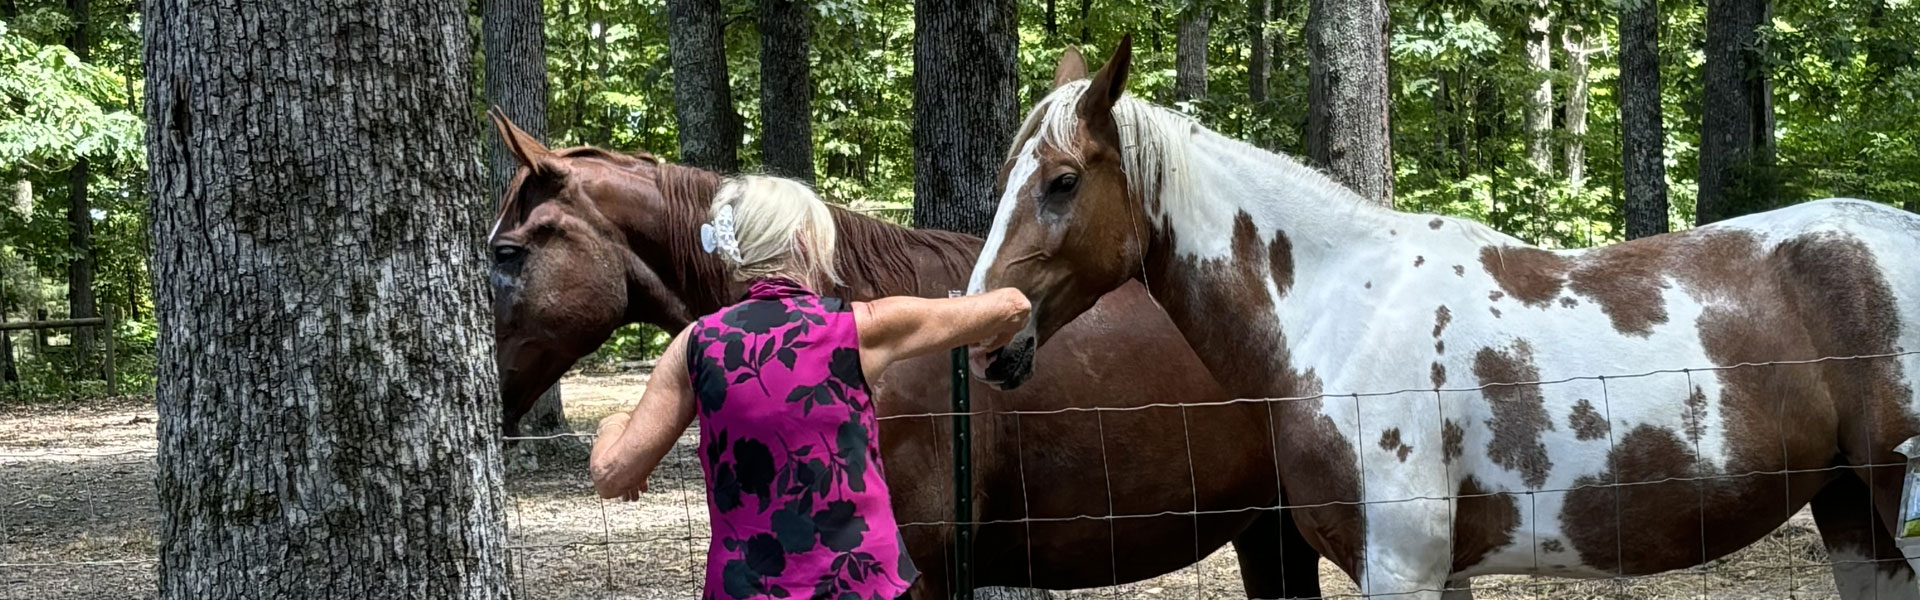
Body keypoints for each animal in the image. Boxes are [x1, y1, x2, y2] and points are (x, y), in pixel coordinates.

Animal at [967, 39, 1920, 596]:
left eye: (1062, 182)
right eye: (1008, 177)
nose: (985, 344)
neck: (1335, 315)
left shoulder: (1400, 569)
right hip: (1853, 514)